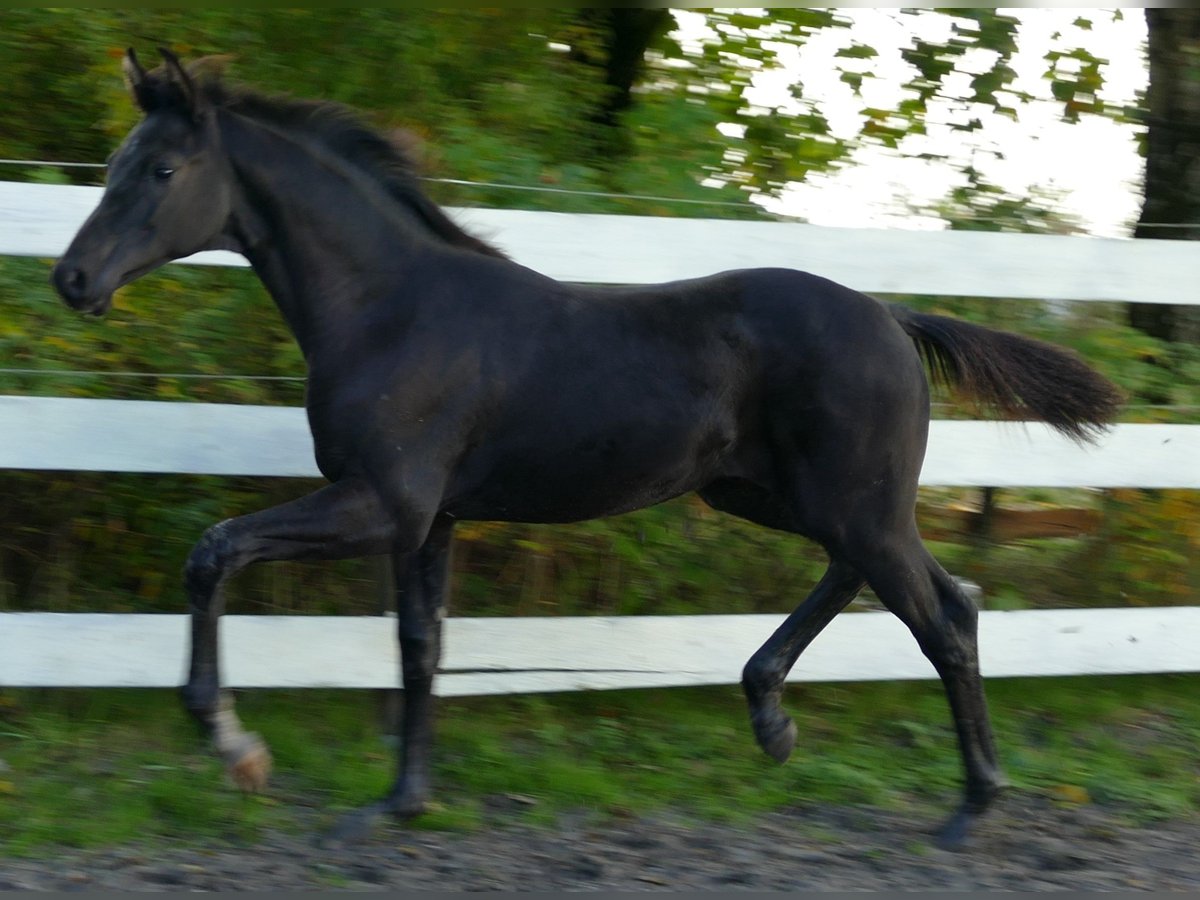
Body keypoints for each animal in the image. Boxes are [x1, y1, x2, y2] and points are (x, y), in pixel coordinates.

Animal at [52, 48, 1122, 849]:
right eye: (114, 161)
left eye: (161, 170)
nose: (73, 280)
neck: (391, 309)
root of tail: (893, 317)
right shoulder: (430, 520)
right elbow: (419, 646)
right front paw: (398, 804)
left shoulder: (383, 502)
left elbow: (215, 551)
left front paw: (233, 742)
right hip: (781, 496)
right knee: (906, 586)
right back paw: (772, 717)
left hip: (848, 501)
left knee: (941, 617)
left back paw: (971, 804)